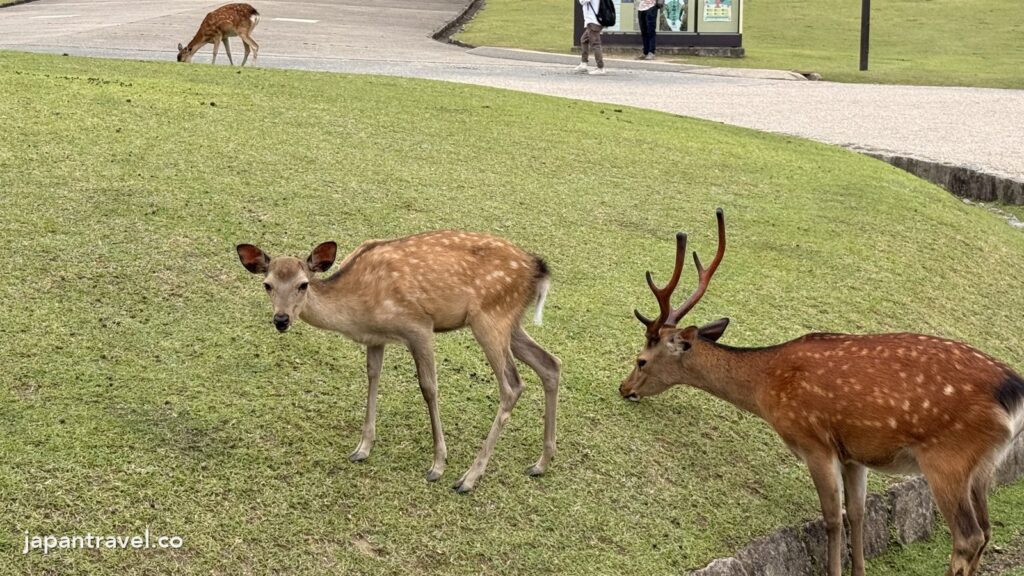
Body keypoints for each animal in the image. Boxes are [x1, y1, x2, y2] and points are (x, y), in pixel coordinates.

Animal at [235, 231, 561, 493]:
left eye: (303, 284)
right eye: (267, 284)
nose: (281, 319)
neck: (357, 306)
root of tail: (539, 269)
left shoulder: (419, 326)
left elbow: (429, 388)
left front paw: (438, 464)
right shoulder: (375, 338)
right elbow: (372, 376)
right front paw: (362, 448)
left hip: (489, 317)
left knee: (512, 385)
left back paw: (469, 478)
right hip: (510, 322)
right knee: (551, 363)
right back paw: (540, 463)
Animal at [618, 209, 1024, 576]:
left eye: (641, 360)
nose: (624, 388)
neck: (766, 387)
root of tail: (1013, 392)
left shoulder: (813, 440)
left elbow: (831, 517)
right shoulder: (854, 454)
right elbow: (857, 513)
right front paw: (859, 570)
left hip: (947, 459)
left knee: (968, 537)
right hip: (985, 466)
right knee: (987, 531)